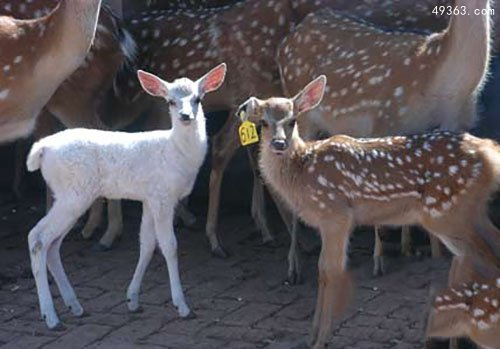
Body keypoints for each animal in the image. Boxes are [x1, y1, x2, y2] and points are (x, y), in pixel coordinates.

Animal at [236, 77, 500, 348]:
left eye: (292, 120)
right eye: (263, 122)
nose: (279, 144)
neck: (302, 171)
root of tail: (491, 152)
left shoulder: (335, 214)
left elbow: (331, 270)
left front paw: (321, 339)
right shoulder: (325, 222)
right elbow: (321, 270)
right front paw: (311, 335)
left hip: (445, 209)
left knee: (478, 257)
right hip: (467, 211)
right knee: (484, 250)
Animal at [278, 0, 492, 278]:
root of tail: (286, 41)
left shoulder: (453, 125)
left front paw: (424, 250)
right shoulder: (386, 119)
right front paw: (379, 262)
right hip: (301, 115)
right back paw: (293, 266)